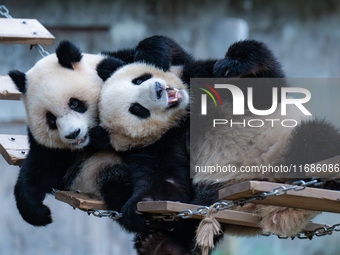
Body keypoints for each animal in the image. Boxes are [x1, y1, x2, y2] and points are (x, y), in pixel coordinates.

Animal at [8, 40, 106, 226]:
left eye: (75, 103)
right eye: (51, 119)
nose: (73, 133)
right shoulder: (50, 149)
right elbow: (38, 170)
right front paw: (40, 213)